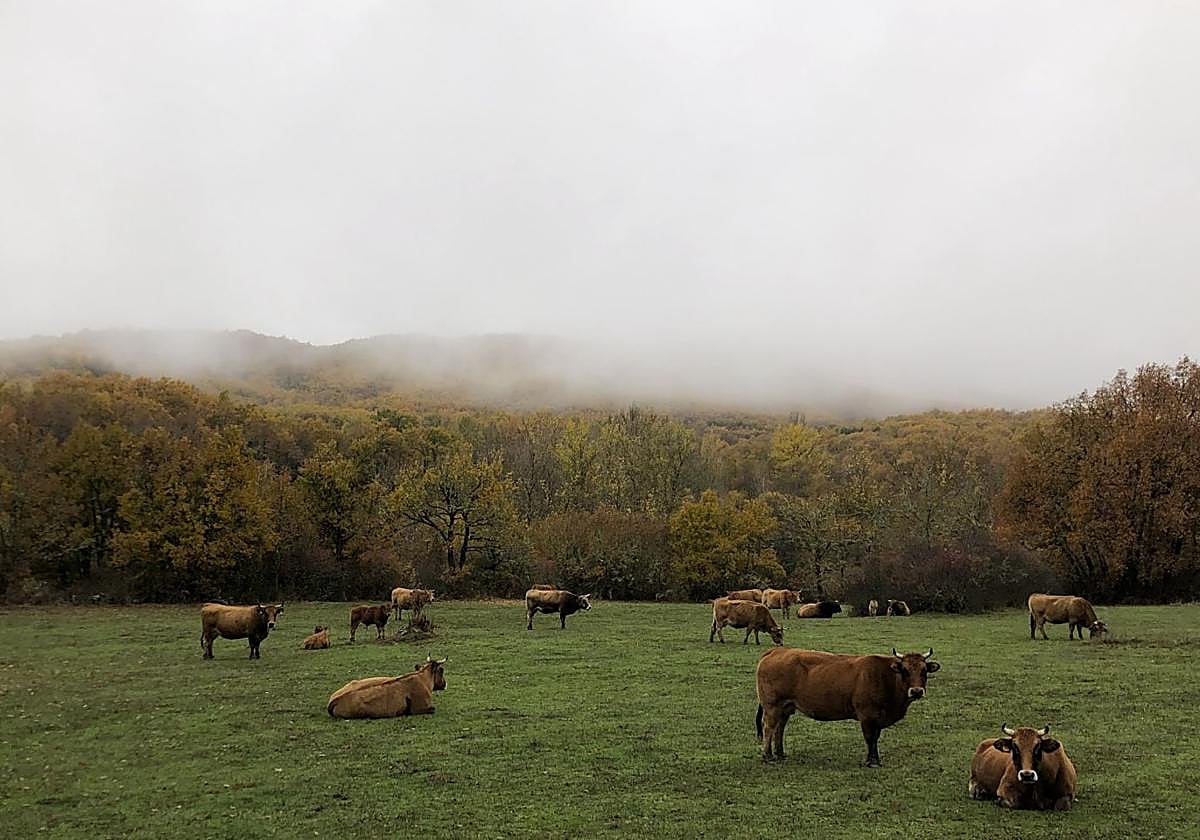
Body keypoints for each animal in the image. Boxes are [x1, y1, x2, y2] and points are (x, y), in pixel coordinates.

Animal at [756, 646, 941, 767]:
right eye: (905, 670)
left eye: (924, 671)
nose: (916, 691)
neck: (885, 677)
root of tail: (777, 651)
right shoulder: (867, 715)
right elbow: (870, 738)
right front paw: (871, 761)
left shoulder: (877, 718)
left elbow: (876, 737)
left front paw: (875, 759)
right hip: (772, 706)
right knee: (769, 728)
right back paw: (768, 756)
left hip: (785, 707)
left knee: (779, 728)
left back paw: (780, 754)